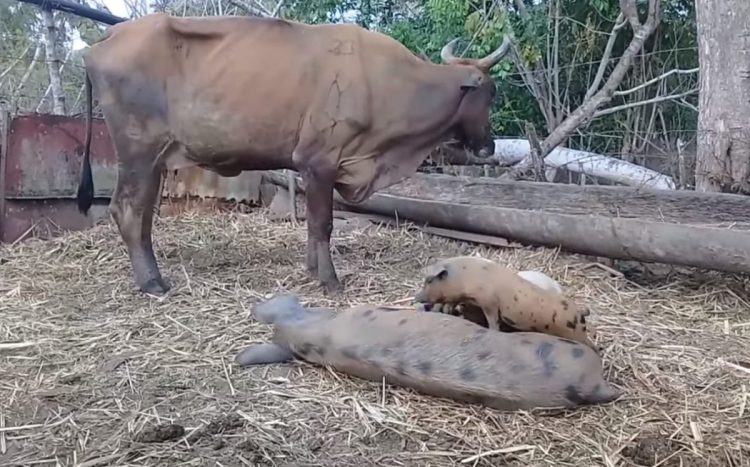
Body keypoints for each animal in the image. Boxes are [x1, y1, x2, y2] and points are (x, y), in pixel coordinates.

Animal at [75, 13, 511, 296]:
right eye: (490, 91)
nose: (489, 147)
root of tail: (100, 45)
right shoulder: (319, 161)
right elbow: (322, 224)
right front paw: (330, 282)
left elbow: (313, 227)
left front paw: (312, 269)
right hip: (138, 151)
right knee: (127, 210)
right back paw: (152, 282)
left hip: (154, 161)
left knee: (142, 214)